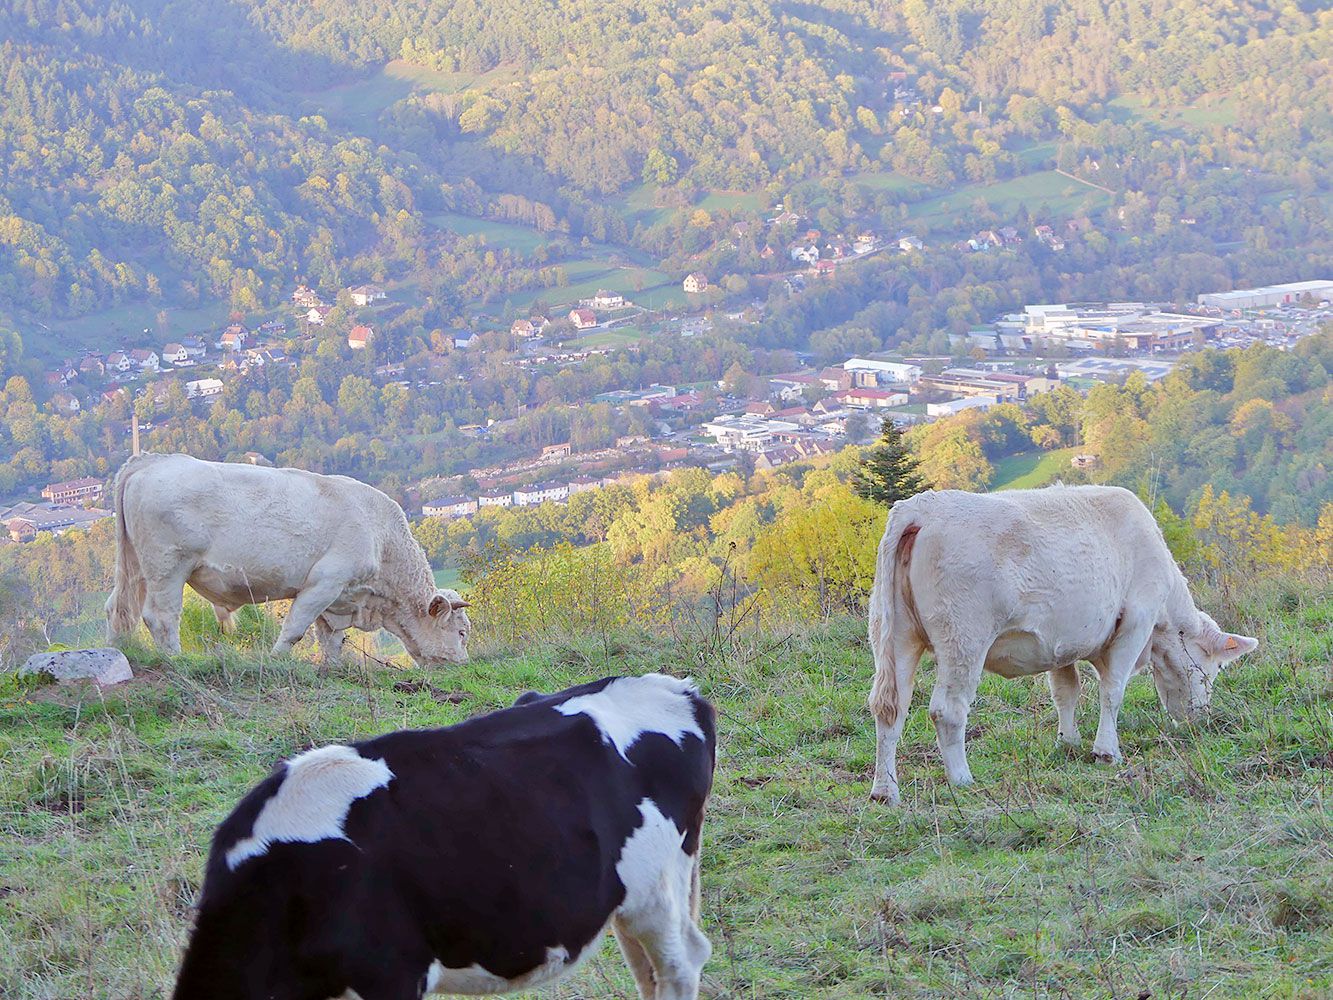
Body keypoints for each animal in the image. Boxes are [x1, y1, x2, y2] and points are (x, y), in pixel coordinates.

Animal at [105, 453, 470, 669]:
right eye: (461, 632)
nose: (462, 664)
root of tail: (151, 461)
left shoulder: (338, 600)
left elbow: (331, 640)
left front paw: (332, 669)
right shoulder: (324, 583)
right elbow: (295, 629)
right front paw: (275, 660)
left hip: (136, 569)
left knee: (118, 610)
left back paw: (116, 653)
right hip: (168, 568)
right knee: (161, 616)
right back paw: (175, 658)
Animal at [171, 673, 716, 1000]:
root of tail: (676, 688)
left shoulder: (391, 972)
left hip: (656, 889)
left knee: (680, 964)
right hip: (627, 898)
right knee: (651, 973)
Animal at [867, 485, 1258, 804]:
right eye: (1210, 672)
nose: (1200, 719)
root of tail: (921, 507)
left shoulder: (1060, 641)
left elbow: (1066, 690)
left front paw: (1067, 742)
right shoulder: (1137, 620)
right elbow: (1112, 690)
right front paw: (1106, 751)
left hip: (895, 635)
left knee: (889, 708)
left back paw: (885, 791)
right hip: (963, 637)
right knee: (946, 709)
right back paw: (962, 779)